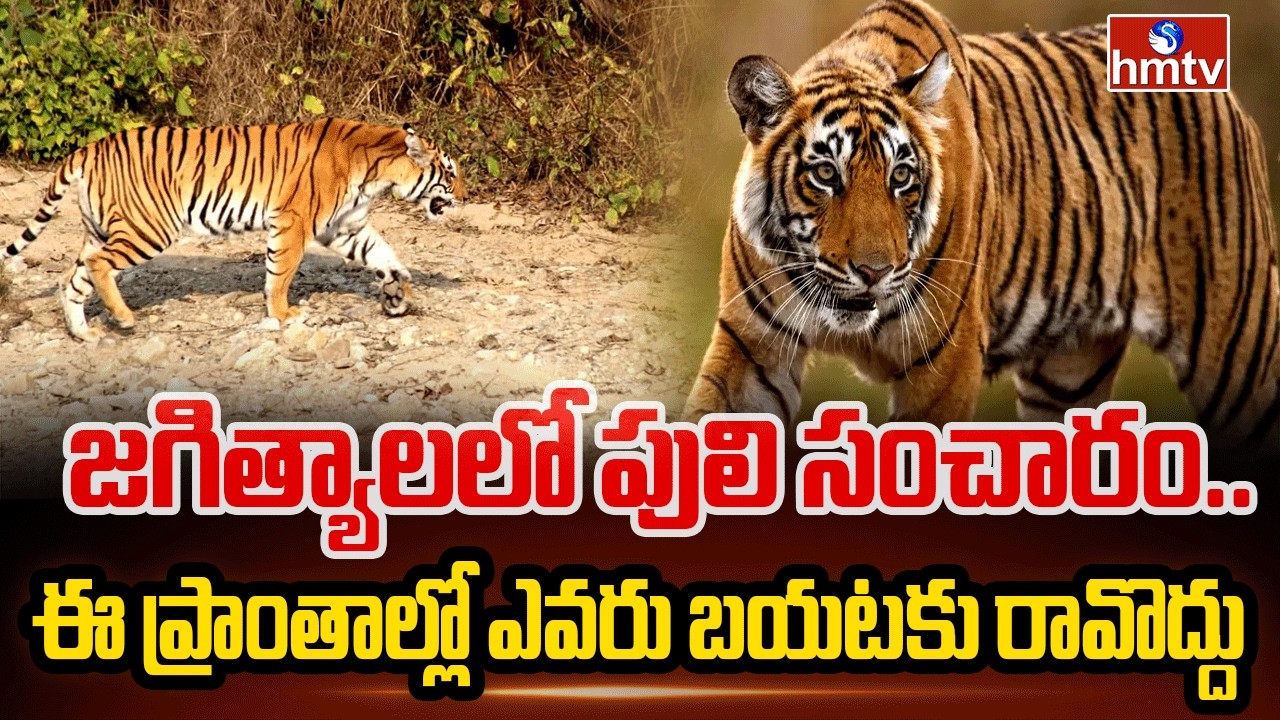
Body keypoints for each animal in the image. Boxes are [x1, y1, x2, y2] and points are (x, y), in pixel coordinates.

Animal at [3, 118, 464, 341]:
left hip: (101, 229)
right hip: (148, 228)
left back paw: (84, 334)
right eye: (450, 172)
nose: (464, 194)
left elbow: (385, 255)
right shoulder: (294, 223)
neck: (377, 170)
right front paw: (283, 314)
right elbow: (281, 274)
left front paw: (398, 294)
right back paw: (124, 317)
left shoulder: (344, 227)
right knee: (98, 266)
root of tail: (88, 148)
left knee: (72, 278)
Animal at [685, 0, 1280, 456]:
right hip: (1068, 372)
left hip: (1239, 350)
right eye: (826, 174)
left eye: (901, 177)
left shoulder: (944, 367)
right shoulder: (752, 348)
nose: (874, 272)